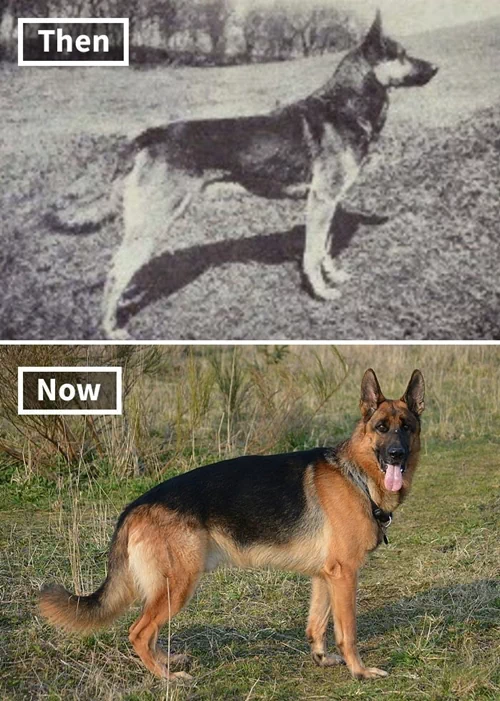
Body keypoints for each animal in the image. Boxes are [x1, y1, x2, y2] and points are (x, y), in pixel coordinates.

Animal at [39, 370, 424, 680]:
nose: (397, 455)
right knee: (138, 631)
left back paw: (167, 662)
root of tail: (136, 506)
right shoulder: (345, 575)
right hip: (179, 585)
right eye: (381, 428)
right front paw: (360, 672)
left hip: (169, 588)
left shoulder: (325, 575)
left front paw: (322, 658)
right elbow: (348, 632)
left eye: (406, 428)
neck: (357, 476)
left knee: (150, 631)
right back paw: (166, 678)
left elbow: (317, 623)